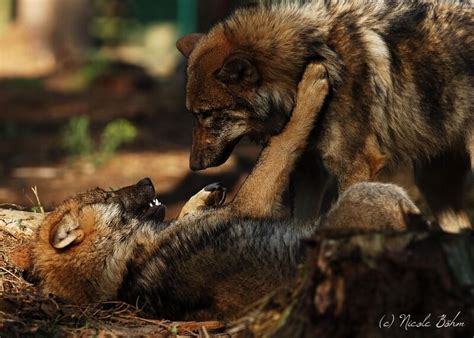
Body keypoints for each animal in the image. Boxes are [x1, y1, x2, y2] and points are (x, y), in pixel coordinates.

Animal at [178, 0, 474, 232]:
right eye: (193, 114)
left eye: (207, 114)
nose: (193, 165)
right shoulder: (308, 172)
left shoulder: (357, 166)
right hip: (433, 183)